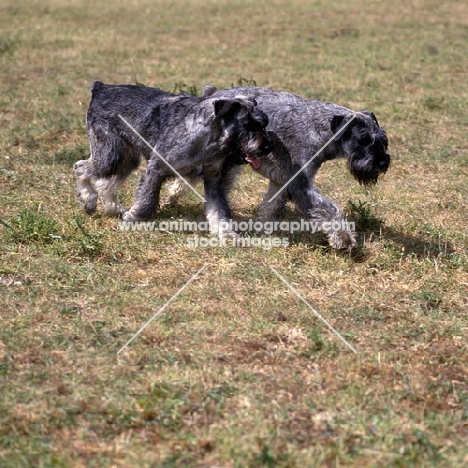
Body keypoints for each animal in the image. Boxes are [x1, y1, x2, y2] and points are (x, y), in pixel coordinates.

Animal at [72, 82, 270, 232]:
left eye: (263, 122)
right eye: (247, 125)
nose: (267, 147)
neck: (206, 140)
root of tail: (101, 88)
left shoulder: (214, 178)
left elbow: (218, 208)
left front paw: (226, 233)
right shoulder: (156, 169)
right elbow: (147, 201)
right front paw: (133, 220)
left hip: (126, 159)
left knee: (104, 183)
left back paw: (113, 207)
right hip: (110, 155)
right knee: (80, 167)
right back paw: (88, 200)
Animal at [166, 86, 390, 250]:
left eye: (382, 140)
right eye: (362, 140)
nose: (382, 163)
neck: (317, 130)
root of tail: (212, 93)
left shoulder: (282, 180)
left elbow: (271, 205)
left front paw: (262, 226)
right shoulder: (300, 185)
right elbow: (328, 210)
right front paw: (343, 239)